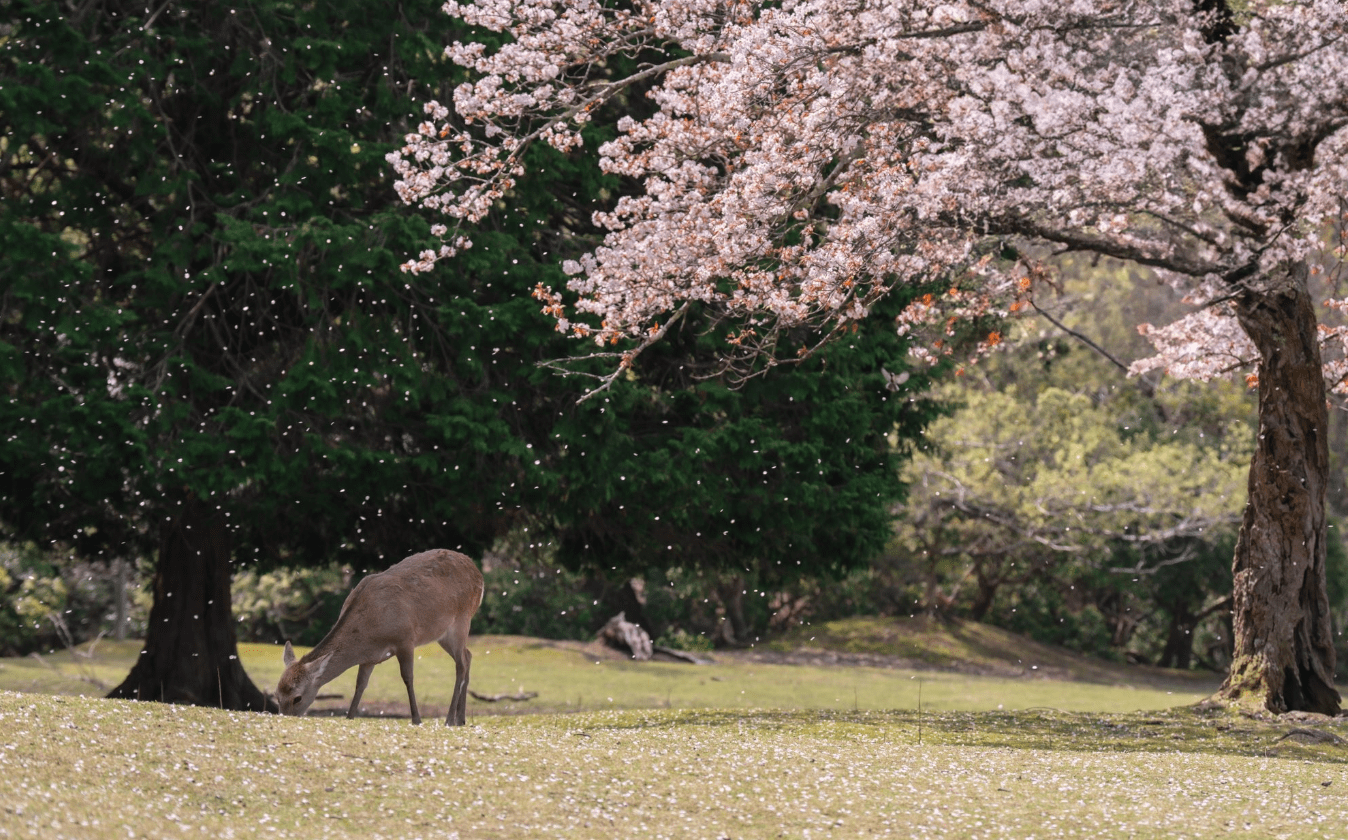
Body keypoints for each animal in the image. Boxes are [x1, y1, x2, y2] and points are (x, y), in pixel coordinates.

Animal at [275, 548, 484, 726]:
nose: (286, 718)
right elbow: (360, 685)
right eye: (277, 694)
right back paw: (461, 719)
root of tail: (479, 574)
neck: (371, 634)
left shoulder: (405, 639)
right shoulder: (369, 658)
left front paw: (416, 719)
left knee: (461, 664)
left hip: (462, 620)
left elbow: (408, 677)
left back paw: (450, 719)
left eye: (297, 697)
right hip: (442, 634)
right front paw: (350, 716)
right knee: (468, 655)